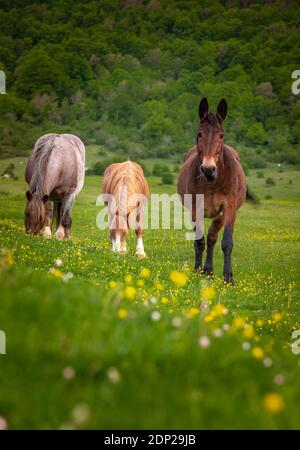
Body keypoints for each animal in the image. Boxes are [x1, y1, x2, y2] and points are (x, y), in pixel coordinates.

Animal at [178, 98, 246, 284]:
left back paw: (209, 270)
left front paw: (228, 277)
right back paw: (205, 270)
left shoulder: (229, 208)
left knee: (213, 238)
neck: (212, 182)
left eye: (221, 135)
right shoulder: (196, 209)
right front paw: (197, 269)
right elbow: (199, 241)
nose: (208, 169)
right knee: (207, 239)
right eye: (199, 134)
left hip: (220, 216)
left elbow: (226, 242)